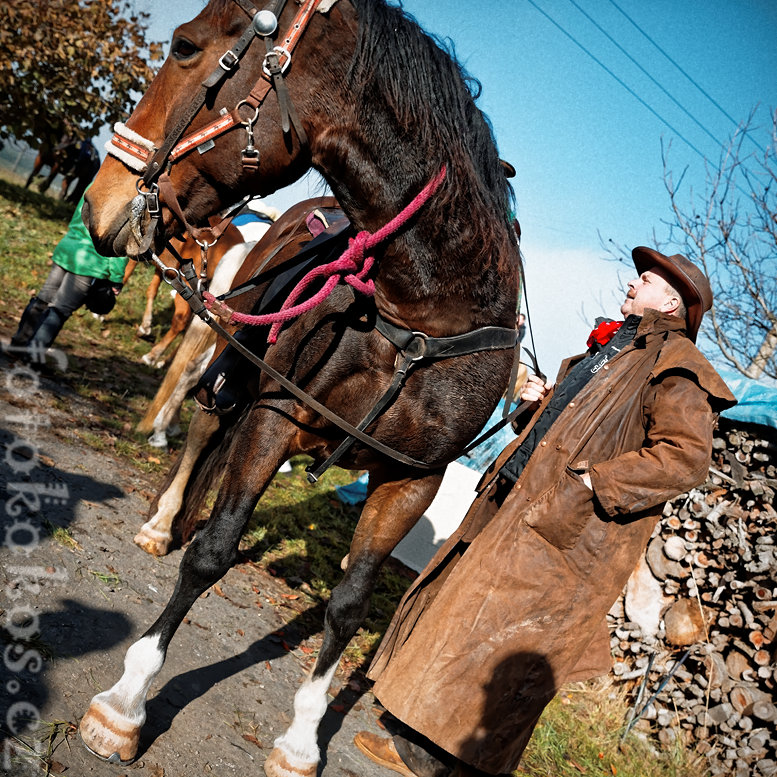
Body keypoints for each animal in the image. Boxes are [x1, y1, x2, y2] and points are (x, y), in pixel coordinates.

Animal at [79, 3, 520, 772]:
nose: (101, 200)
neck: (420, 315)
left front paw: (302, 737)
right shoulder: (273, 417)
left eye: (185, 46)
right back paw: (161, 522)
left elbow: (347, 604)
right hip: (230, 362)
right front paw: (126, 701)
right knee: (201, 430)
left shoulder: (413, 478)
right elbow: (213, 551)